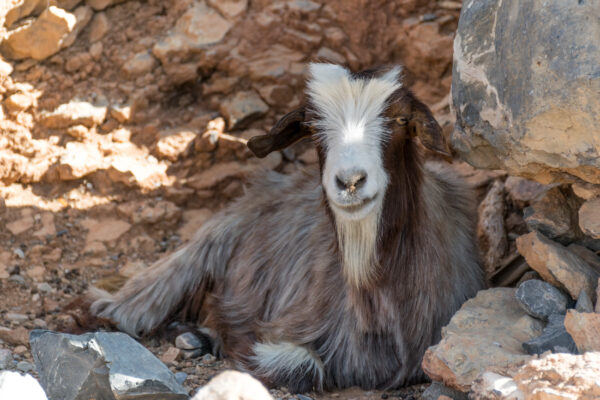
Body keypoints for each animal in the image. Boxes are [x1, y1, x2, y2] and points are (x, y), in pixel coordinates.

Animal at [91, 64, 486, 392]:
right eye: (312, 128)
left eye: (402, 120)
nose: (350, 181)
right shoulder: (280, 331)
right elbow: (304, 368)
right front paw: (223, 337)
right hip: (205, 247)